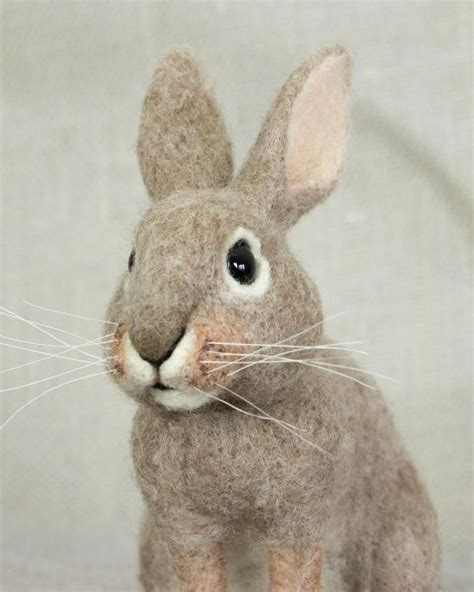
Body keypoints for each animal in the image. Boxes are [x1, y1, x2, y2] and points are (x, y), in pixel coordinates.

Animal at [105, 46, 438, 592]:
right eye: (133, 260)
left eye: (242, 263)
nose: (153, 343)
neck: (225, 413)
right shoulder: (184, 529)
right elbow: (198, 574)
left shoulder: (298, 520)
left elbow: (294, 572)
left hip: (401, 544)